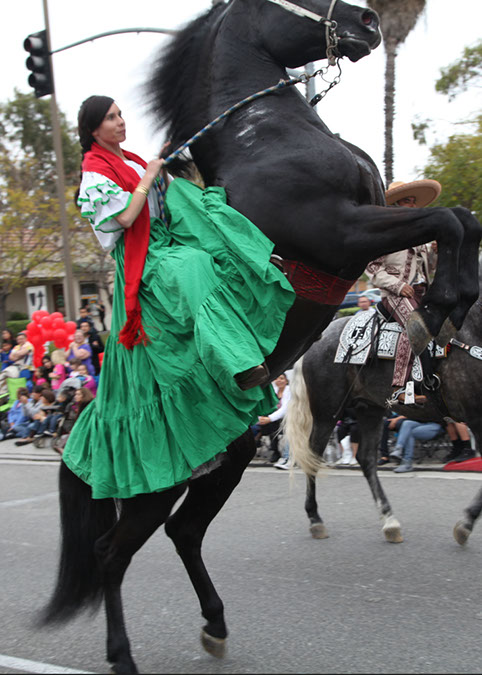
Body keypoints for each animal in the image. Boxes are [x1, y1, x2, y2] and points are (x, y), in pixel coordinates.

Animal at [284, 284, 482, 544]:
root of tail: (319, 338)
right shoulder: (476, 417)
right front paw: (465, 524)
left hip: (369, 408)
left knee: (366, 459)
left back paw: (390, 522)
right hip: (327, 413)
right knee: (314, 455)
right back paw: (315, 518)